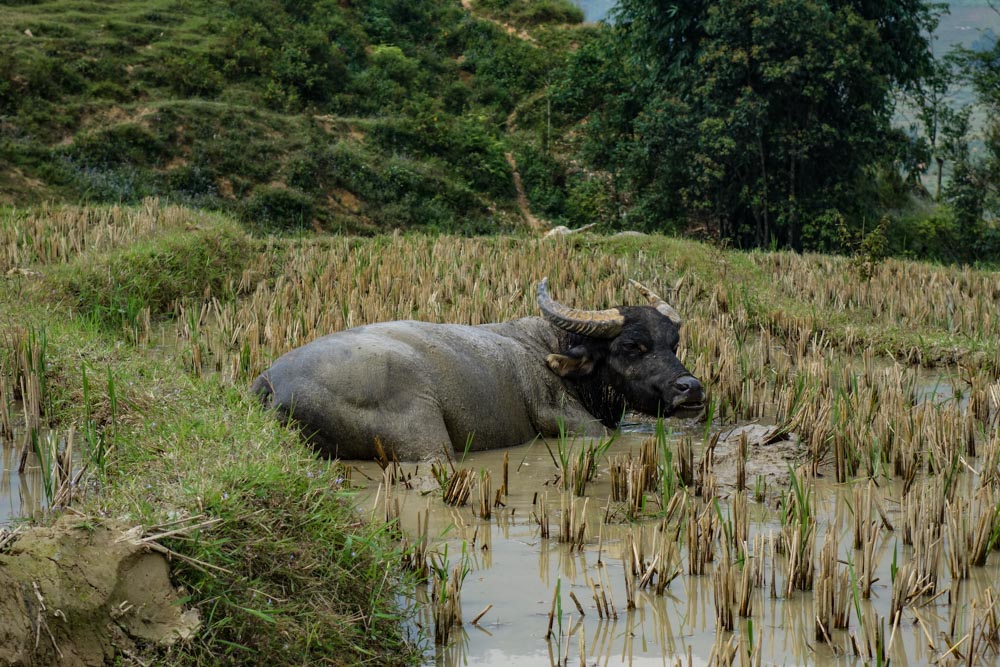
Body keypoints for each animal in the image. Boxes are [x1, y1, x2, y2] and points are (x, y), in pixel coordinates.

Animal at [250, 280, 704, 462]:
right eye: (632, 345)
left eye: (673, 343)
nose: (691, 388)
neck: (552, 351)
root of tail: (270, 382)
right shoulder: (569, 422)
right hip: (426, 440)